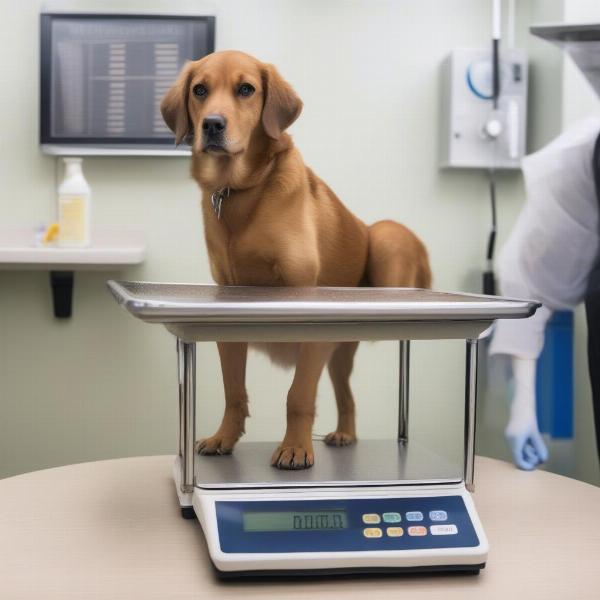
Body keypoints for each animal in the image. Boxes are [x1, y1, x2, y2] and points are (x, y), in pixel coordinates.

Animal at [162, 50, 428, 468]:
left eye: (246, 89)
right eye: (199, 90)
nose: (213, 125)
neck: (241, 193)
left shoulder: (306, 309)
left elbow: (298, 395)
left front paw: (295, 447)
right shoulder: (228, 310)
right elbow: (233, 391)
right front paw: (225, 437)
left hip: (386, 236)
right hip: (338, 354)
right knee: (346, 395)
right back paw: (345, 433)